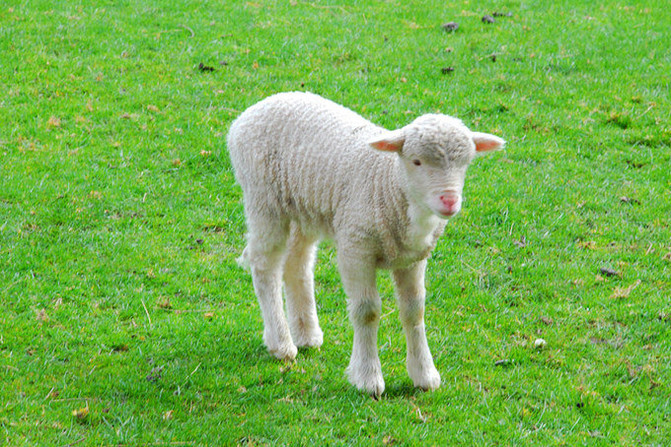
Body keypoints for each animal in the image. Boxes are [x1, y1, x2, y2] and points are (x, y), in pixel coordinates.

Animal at [227, 90, 504, 396]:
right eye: (416, 161)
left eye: (465, 164)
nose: (449, 201)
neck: (388, 182)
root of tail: (257, 107)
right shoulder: (356, 247)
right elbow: (367, 311)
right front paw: (368, 378)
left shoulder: (413, 258)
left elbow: (414, 310)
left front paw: (424, 374)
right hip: (264, 200)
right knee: (265, 267)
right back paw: (281, 344)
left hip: (304, 208)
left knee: (297, 265)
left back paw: (306, 334)